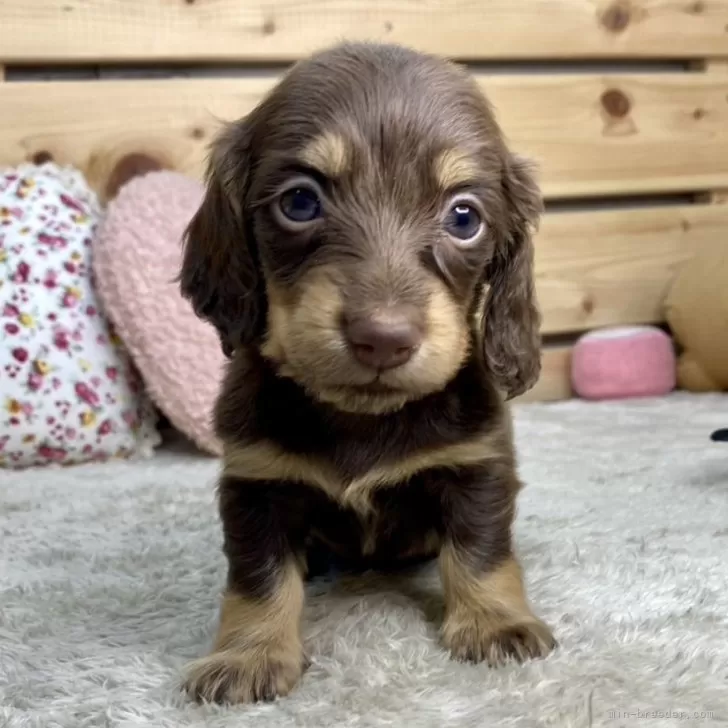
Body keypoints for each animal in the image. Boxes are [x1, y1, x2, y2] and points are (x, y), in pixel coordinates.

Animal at [179, 41, 556, 704]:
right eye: (300, 201)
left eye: (464, 217)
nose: (383, 338)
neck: (363, 417)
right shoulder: (255, 483)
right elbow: (258, 578)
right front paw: (249, 654)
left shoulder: (476, 468)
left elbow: (480, 551)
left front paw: (494, 620)